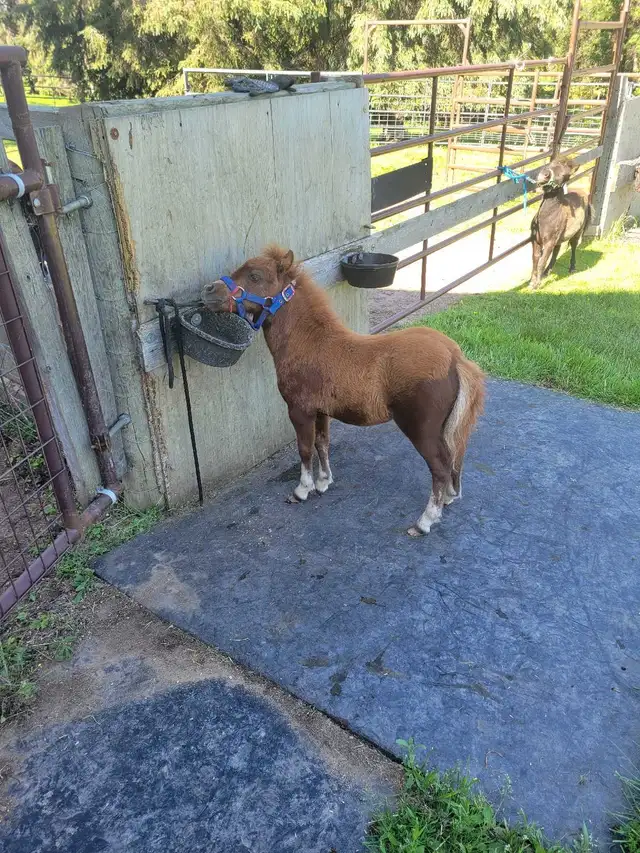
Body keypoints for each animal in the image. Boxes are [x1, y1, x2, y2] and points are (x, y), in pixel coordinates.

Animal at [201, 246, 485, 536]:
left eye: (255, 276)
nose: (208, 290)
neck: (308, 343)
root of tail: (455, 358)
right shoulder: (320, 411)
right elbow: (322, 443)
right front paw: (324, 482)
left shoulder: (299, 410)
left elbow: (305, 449)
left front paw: (302, 490)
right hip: (443, 427)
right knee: (453, 457)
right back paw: (449, 497)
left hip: (420, 428)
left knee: (440, 467)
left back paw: (424, 521)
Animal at [530, 155, 593, 289]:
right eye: (550, 163)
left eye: (565, 175)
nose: (544, 175)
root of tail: (583, 193)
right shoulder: (535, 240)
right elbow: (535, 259)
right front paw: (532, 281)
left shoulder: (549, 242)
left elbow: (542, 261)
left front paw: (536, 284)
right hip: (559, 237)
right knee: (557, 250)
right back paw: (547, 272)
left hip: (577, 232)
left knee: (573, 246)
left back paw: (572, 267)